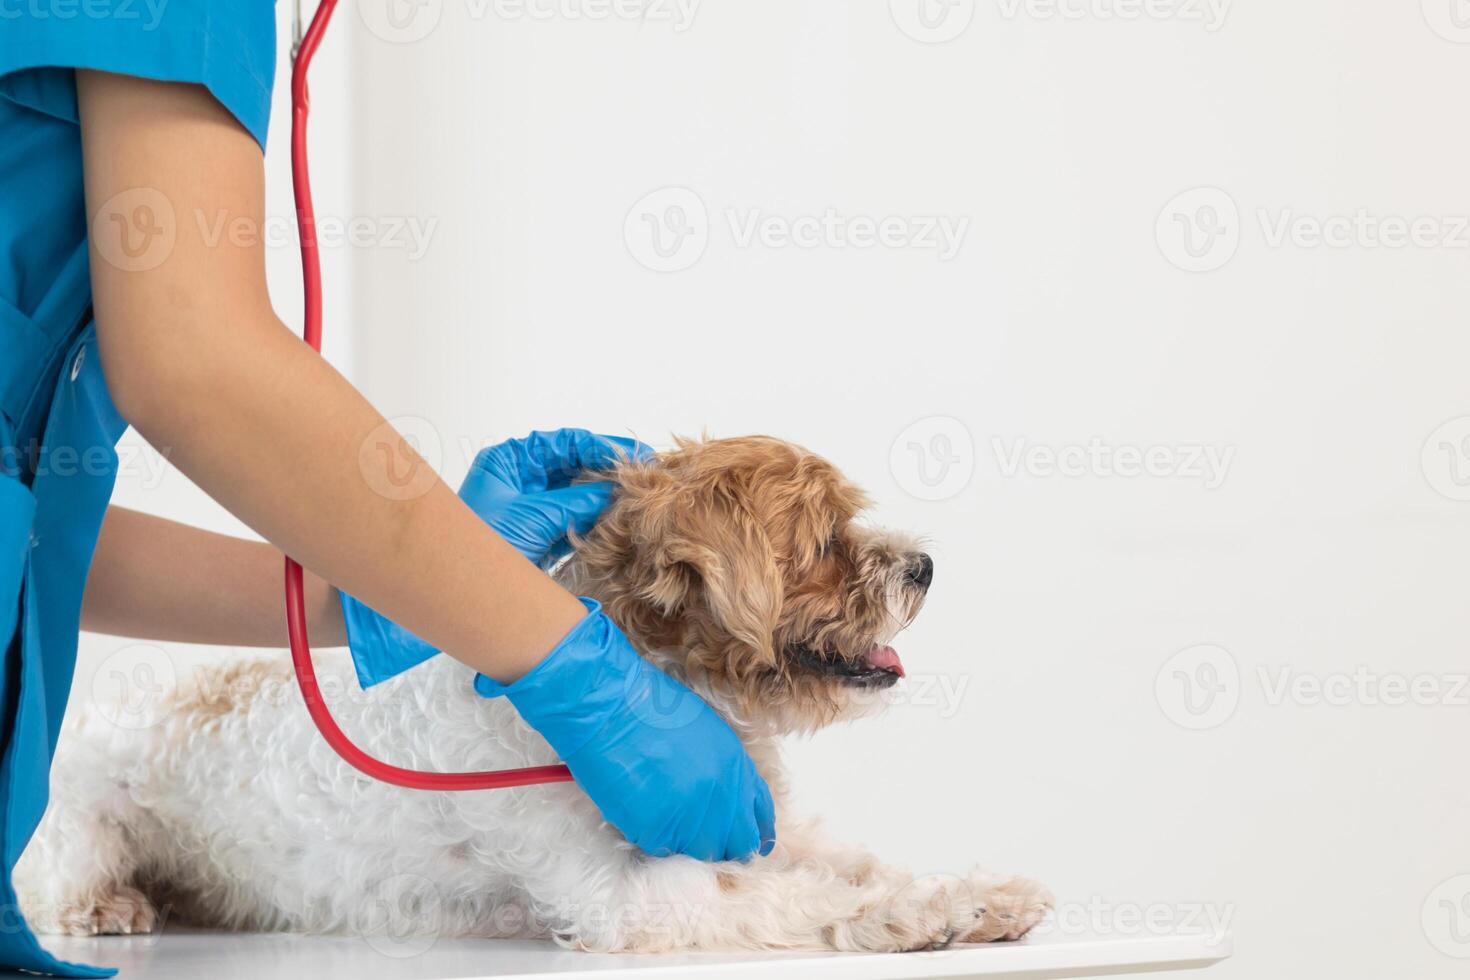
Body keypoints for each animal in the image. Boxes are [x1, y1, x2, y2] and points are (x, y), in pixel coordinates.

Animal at [14, 434, 1046, 952]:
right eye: (827, 540)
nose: (924, 565)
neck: (647, 689)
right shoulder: (628, 900)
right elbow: (808, 900)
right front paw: (919, 918)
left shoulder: (766, 831)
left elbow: (859, 863)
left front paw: (978, 894)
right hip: (82, 829)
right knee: (54, 888)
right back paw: (110, 907)